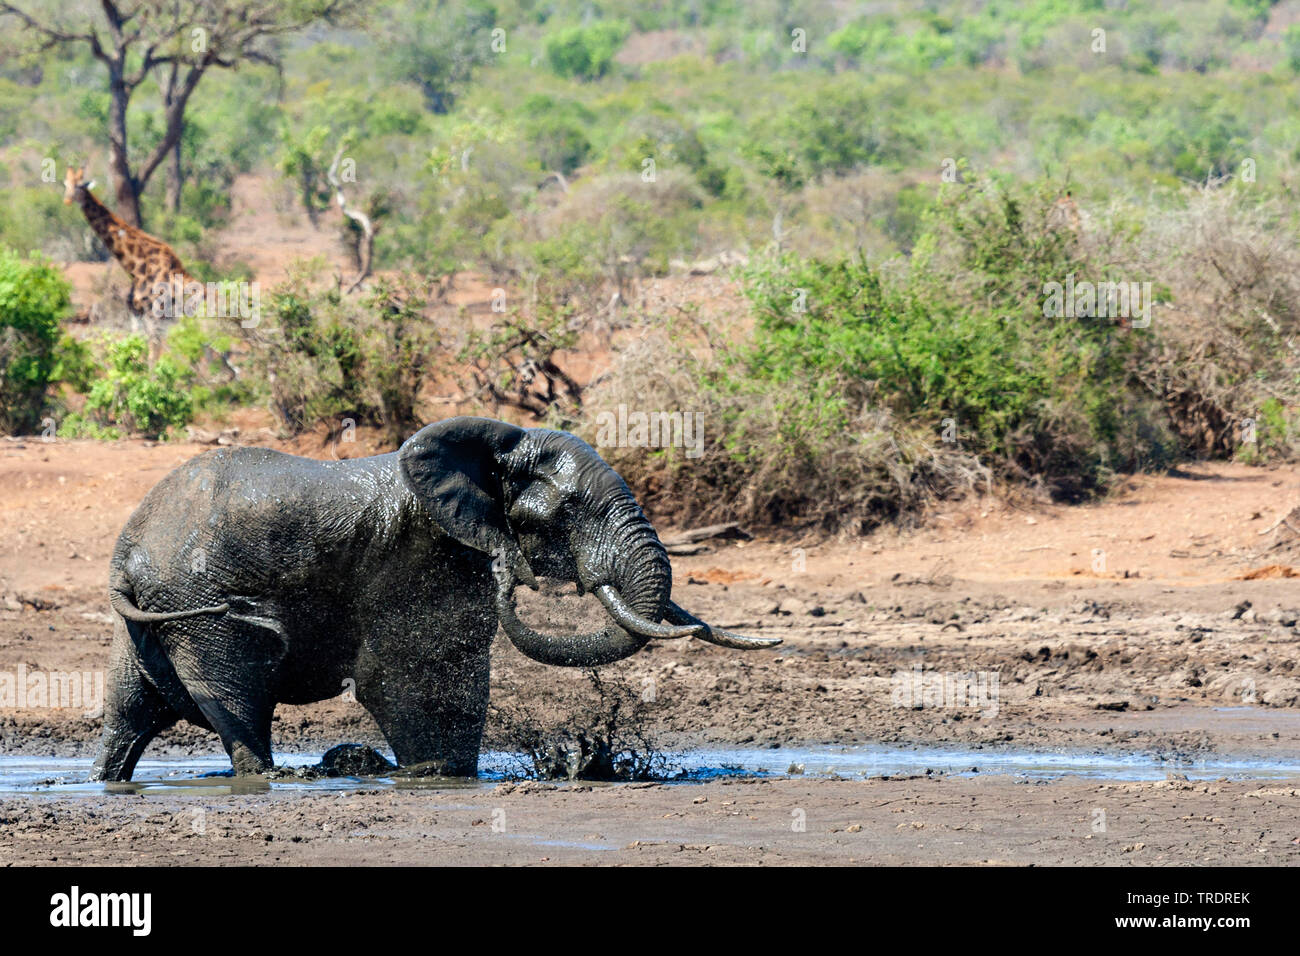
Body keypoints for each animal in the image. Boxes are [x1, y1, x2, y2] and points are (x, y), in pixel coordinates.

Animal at [63, 165, 195, 343]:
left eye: (79, 186)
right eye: (65, 184)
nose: (67, 200)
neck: (136, 268)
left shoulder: (153, 314)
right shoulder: (137, 313)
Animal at [94, 416, 780, 780]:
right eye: (568, 511)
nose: (513, 577)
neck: (491, 448)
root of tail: (126, 552)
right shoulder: (416, 559)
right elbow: (411, 679)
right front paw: (439, 778)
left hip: (155, 615)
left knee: (130, 714)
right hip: (198, 602)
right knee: (238, 703)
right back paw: (272, 777)